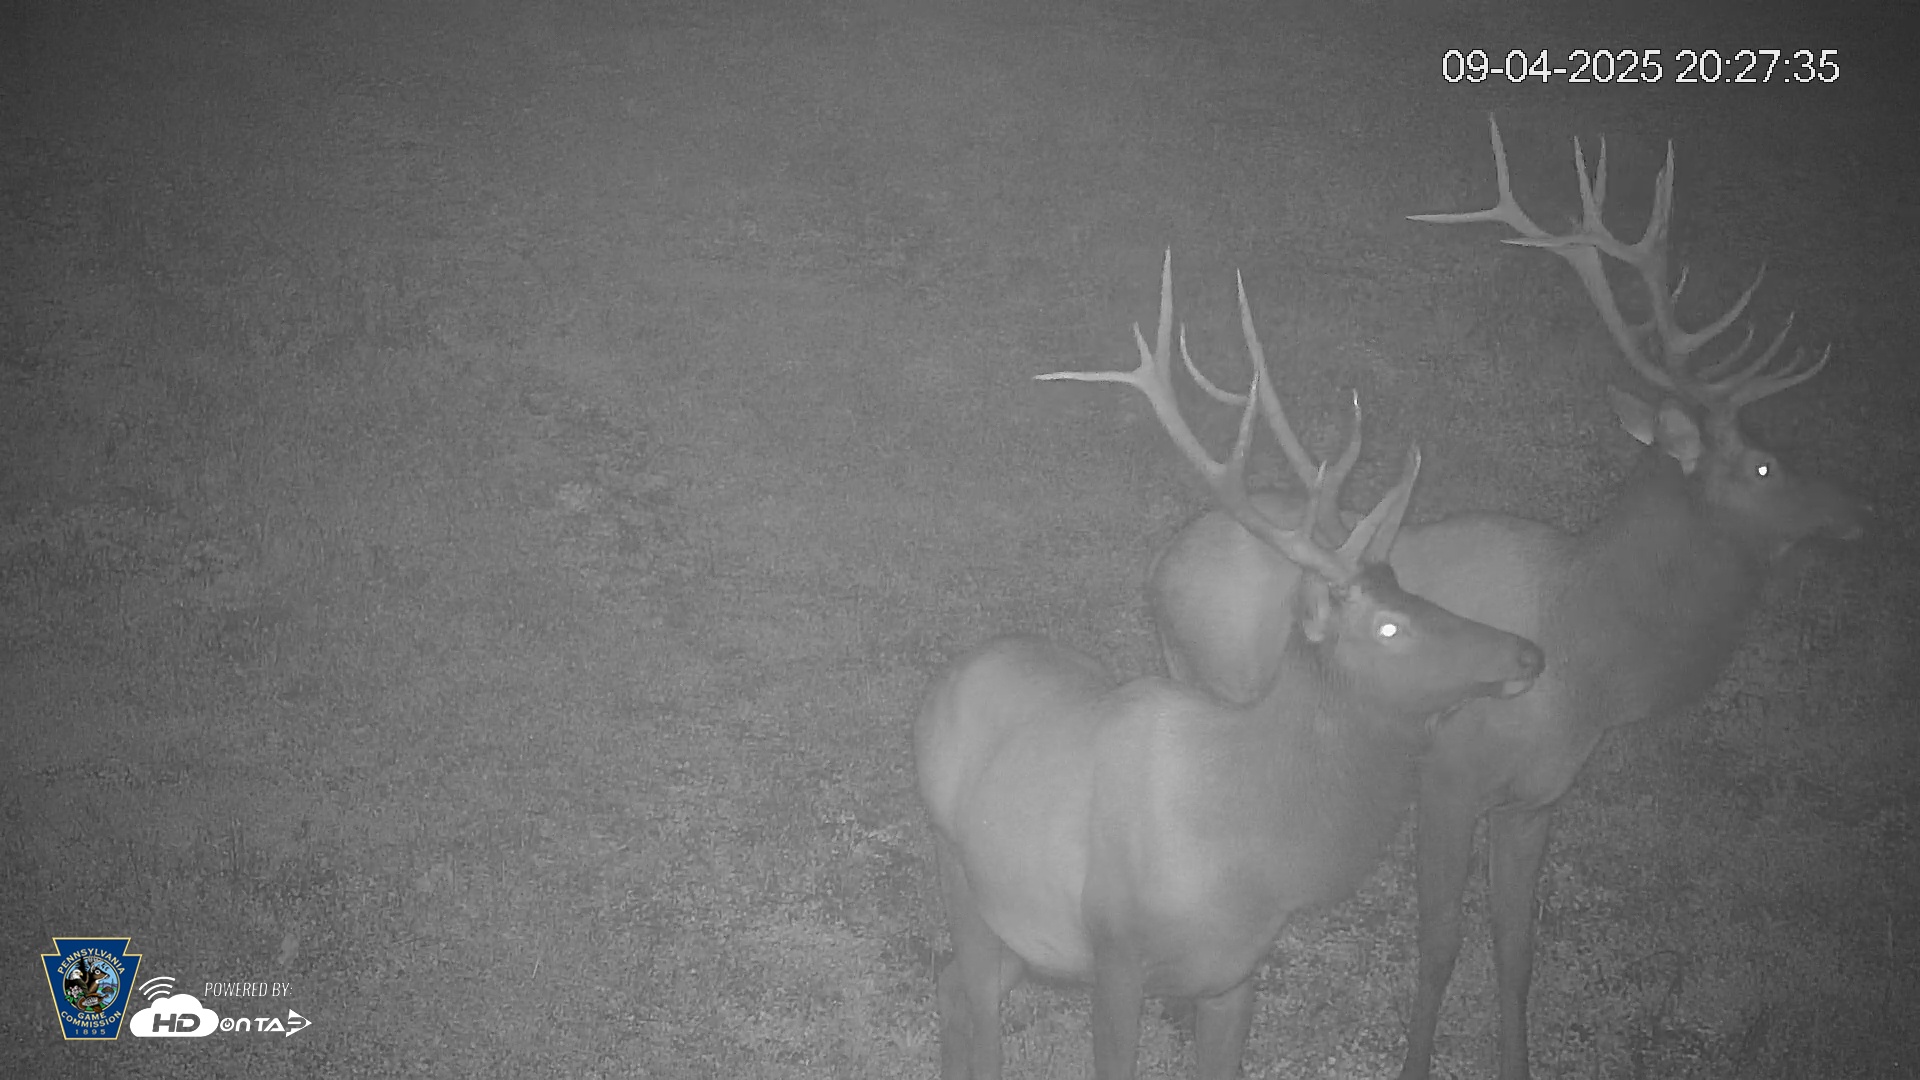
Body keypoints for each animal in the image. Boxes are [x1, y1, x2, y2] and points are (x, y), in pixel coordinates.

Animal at [915, 250, 1546, 1080]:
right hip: (965, 876)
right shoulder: (1115, 953)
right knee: (974, 1003)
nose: (1527, 650)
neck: (1250, 846)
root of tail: (948, 682)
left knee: (954, 987)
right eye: (1387, 625)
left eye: (1415, 590)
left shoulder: (1236, 972)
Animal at [1146, 118, 1867, 1080]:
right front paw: (1415, 1063)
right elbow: (1441, 945)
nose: (1858, 510)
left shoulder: (1540, 798)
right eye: (1763, 466)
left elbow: (1516, 948)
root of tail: (1162, 567)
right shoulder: (1450, 778)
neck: (1597, 661)